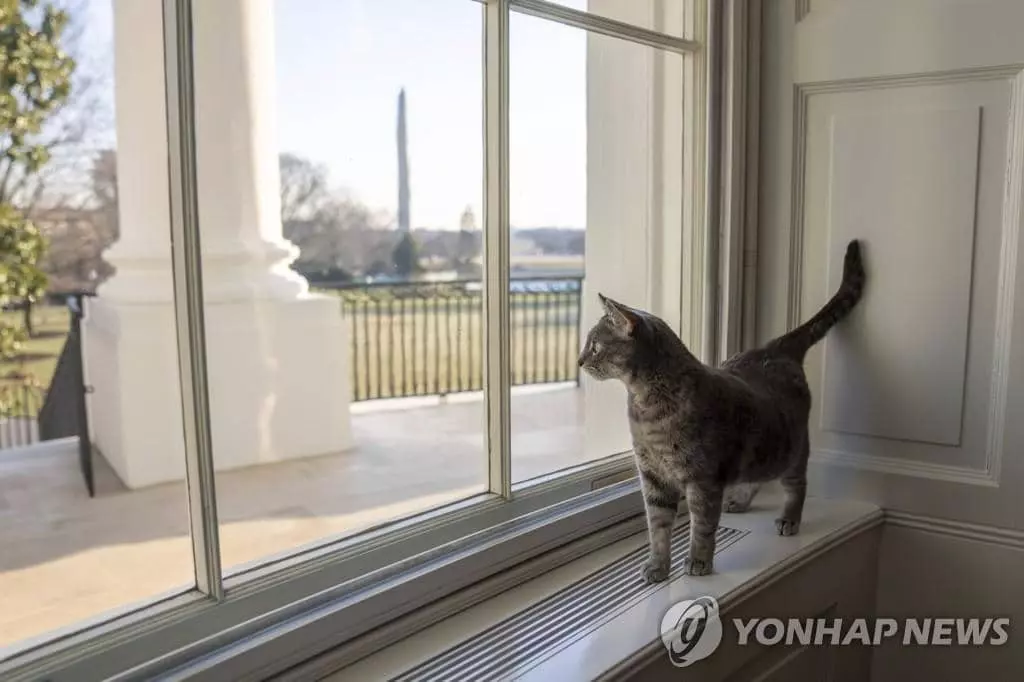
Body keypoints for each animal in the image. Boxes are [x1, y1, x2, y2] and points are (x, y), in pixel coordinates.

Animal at [577, 237, 864, 577]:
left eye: (595, 346)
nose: (579, 361)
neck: (646, 407)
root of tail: (775, 347)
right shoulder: (653, 476)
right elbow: (657, 527)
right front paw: (657, 565)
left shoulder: (703, 478)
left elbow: (702, 526)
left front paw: (698, 561)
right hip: (762, 455)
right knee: (757, 477)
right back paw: (740, 500)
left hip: (790, 451)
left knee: (798, 484)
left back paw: (790, 518)